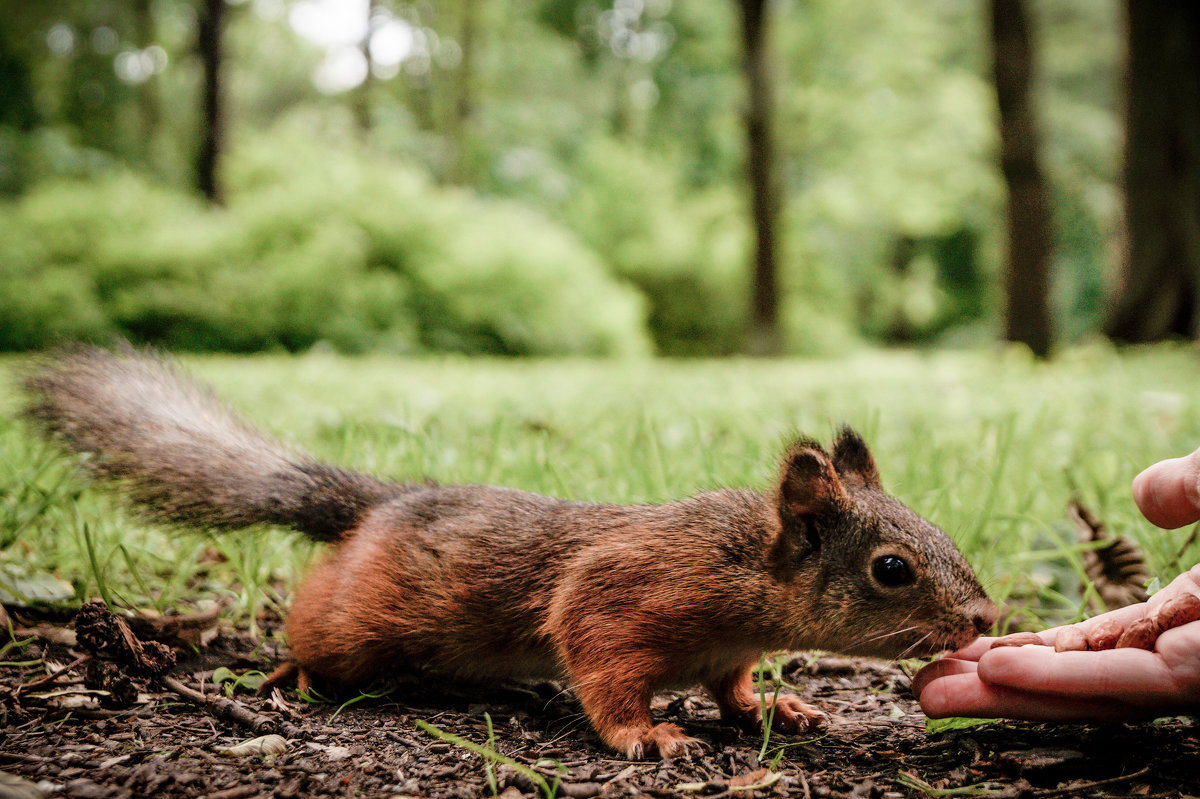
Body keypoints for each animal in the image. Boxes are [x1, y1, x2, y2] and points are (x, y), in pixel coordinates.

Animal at [28, 345, 998, 758]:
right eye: (892, 568)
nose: (987, 618)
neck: (744, 572)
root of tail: (378, 506)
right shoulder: (622, 594)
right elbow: (601, 666)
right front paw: (649, 733)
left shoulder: (728, 650)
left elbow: (732, 687)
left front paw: (778, 707)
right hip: (356, 624)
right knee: (316, 629)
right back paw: (296, 672)